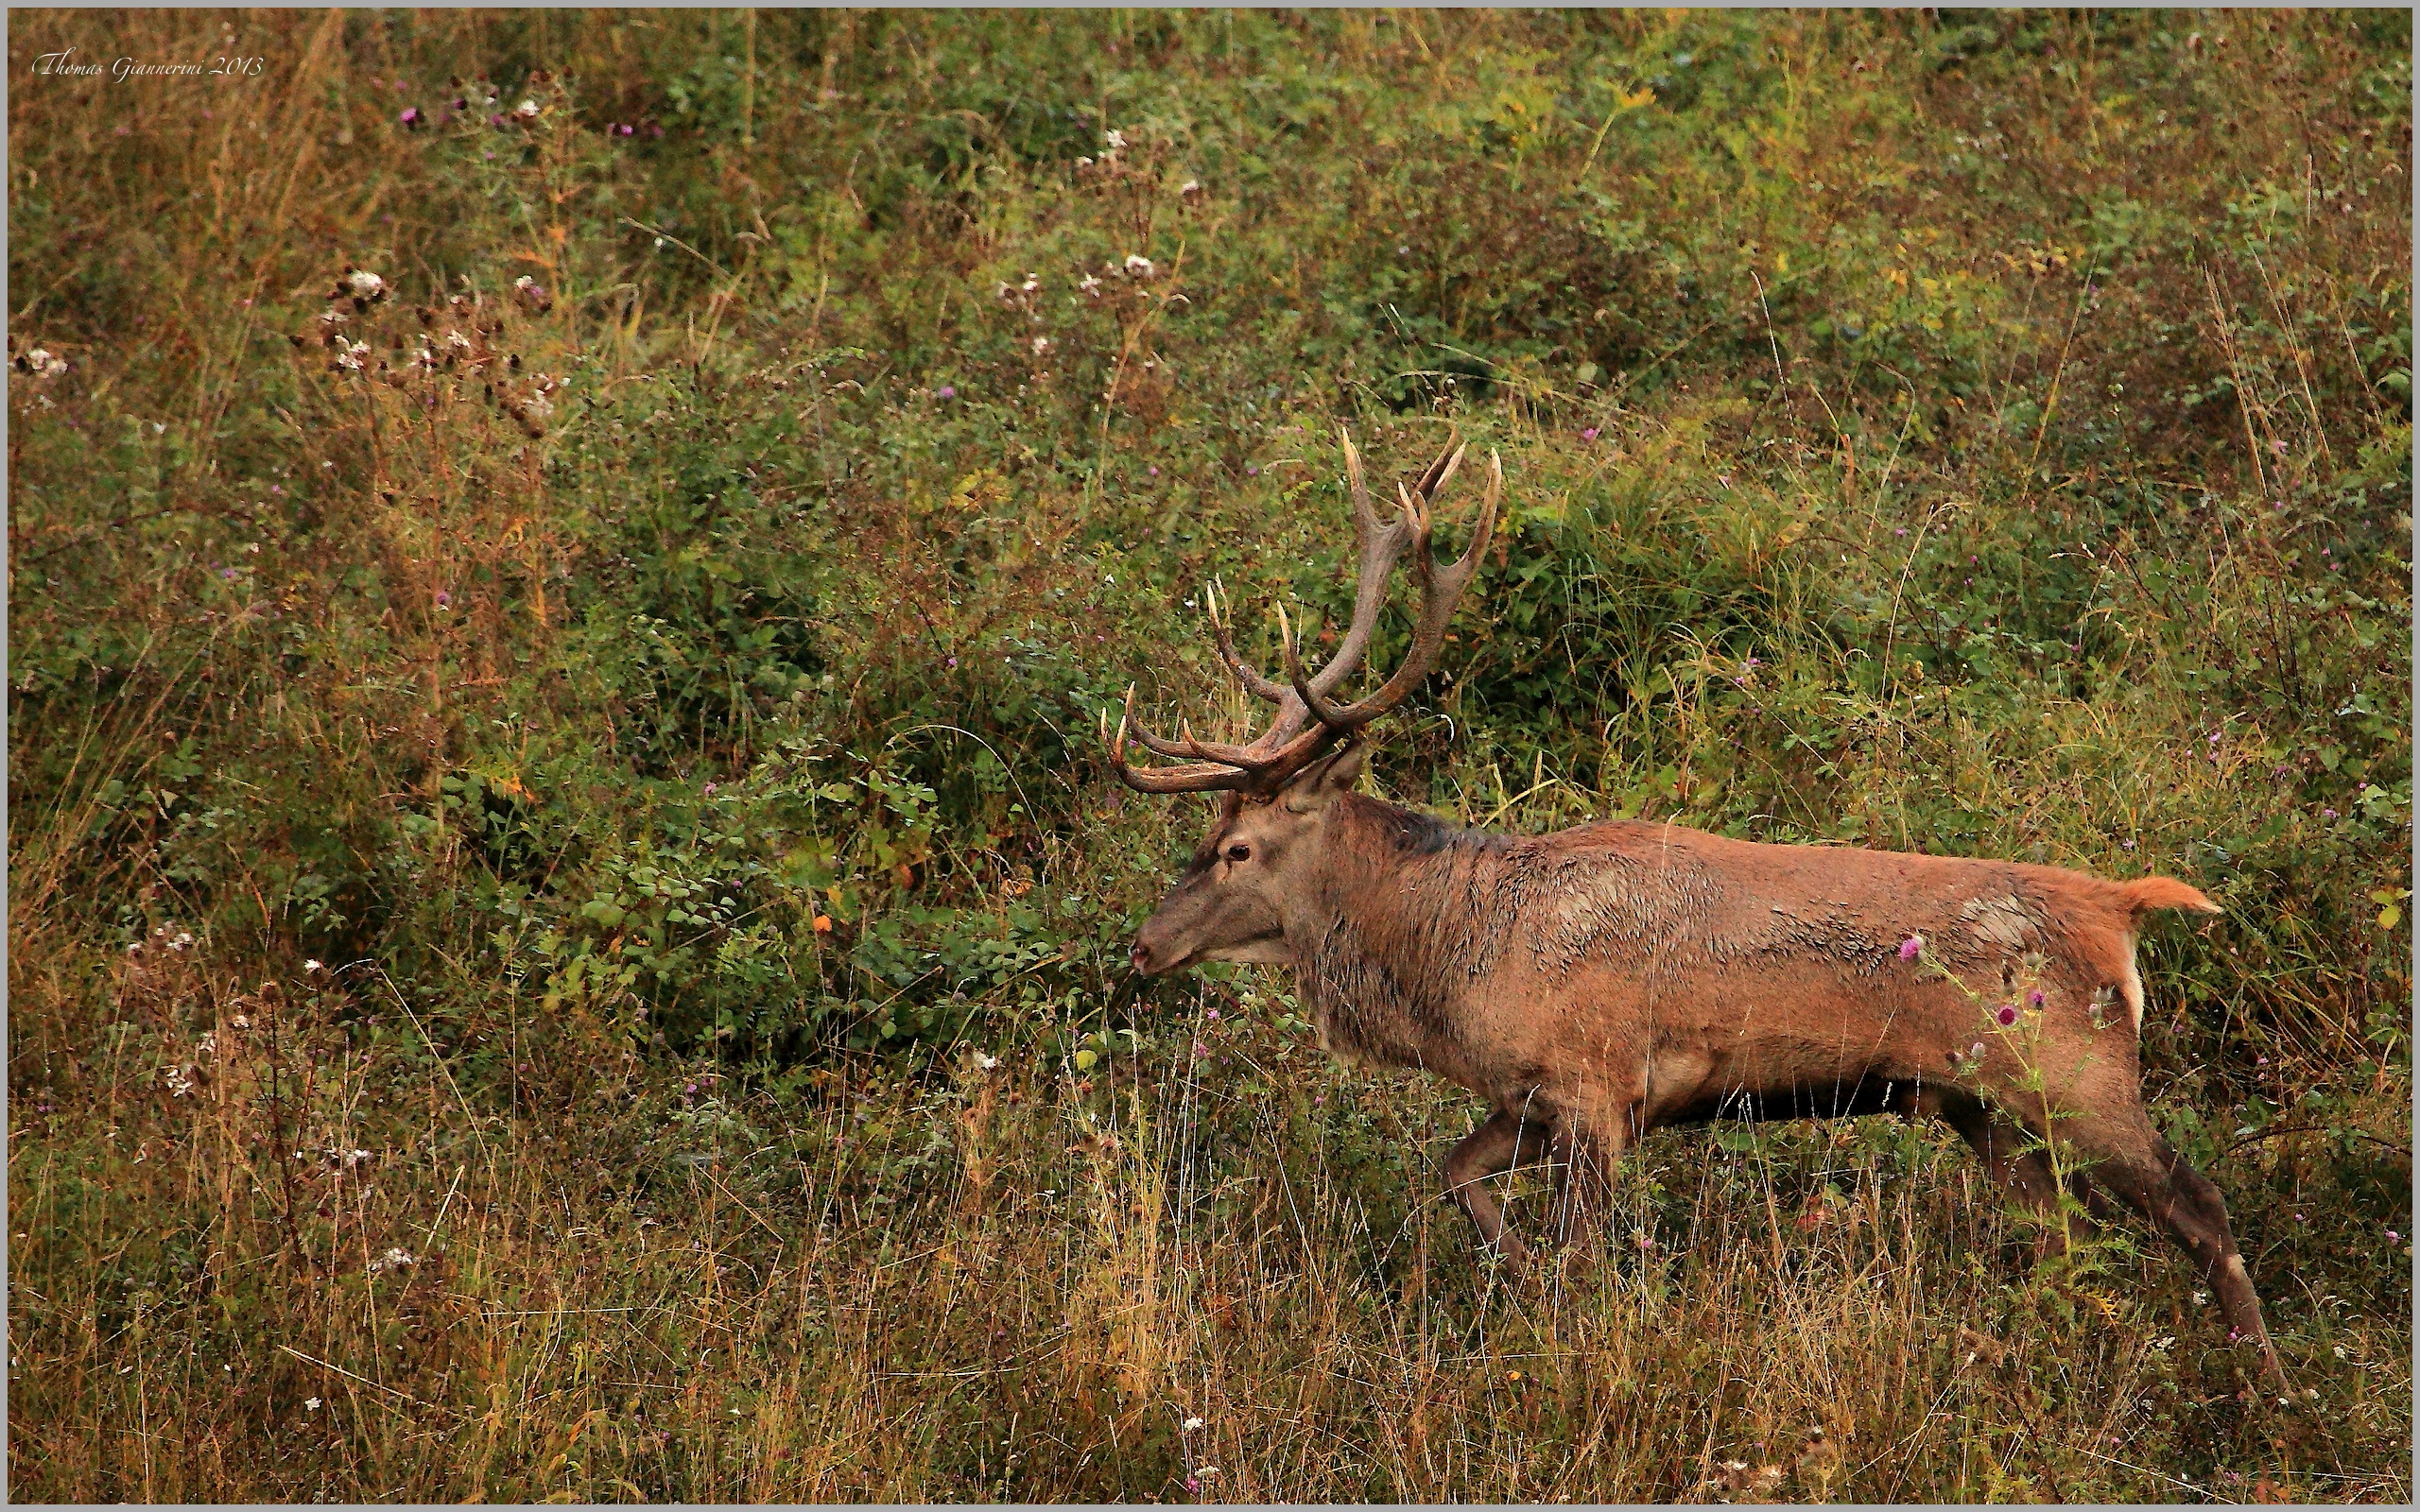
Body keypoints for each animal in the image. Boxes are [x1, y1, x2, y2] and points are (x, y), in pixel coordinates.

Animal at [1103, 433, 2284, 1384]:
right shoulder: (1532, 1098)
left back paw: (2267, 1391)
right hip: (1977, 1105)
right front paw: (1514, 1286)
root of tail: (2122, 907)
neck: (1462, 961)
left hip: (2073, 1071)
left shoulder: (1593, 1081)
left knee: (2203, 1209)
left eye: (1235, 847)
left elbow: (1580, 1258)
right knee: (2062, 1236)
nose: (1144, 946)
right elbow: (1453, 1177)